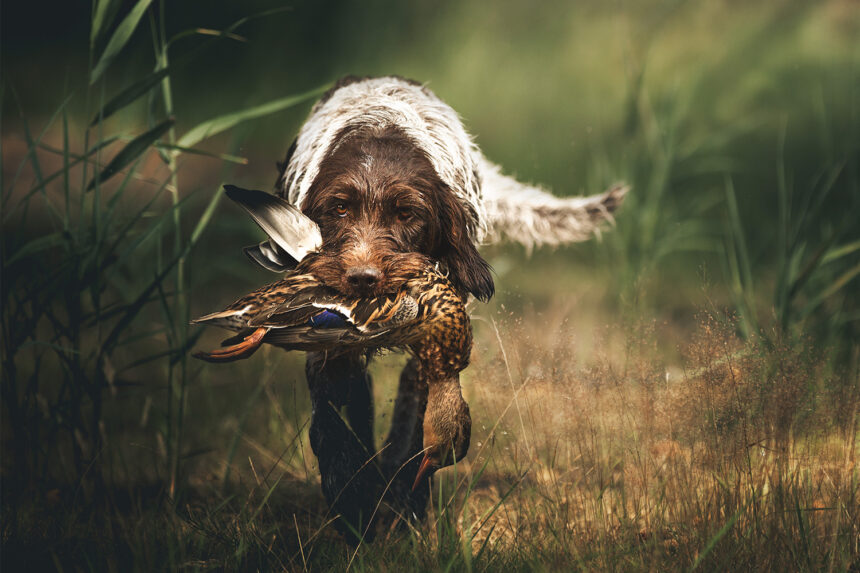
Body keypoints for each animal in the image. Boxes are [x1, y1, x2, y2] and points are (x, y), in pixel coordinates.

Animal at [262, 73, 624, 540]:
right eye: (338, 209)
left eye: (407, 214)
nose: (362, 278)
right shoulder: (330, 344)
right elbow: (333, 420)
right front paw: (353, 498)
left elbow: (415, 423)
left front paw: (403, 498)